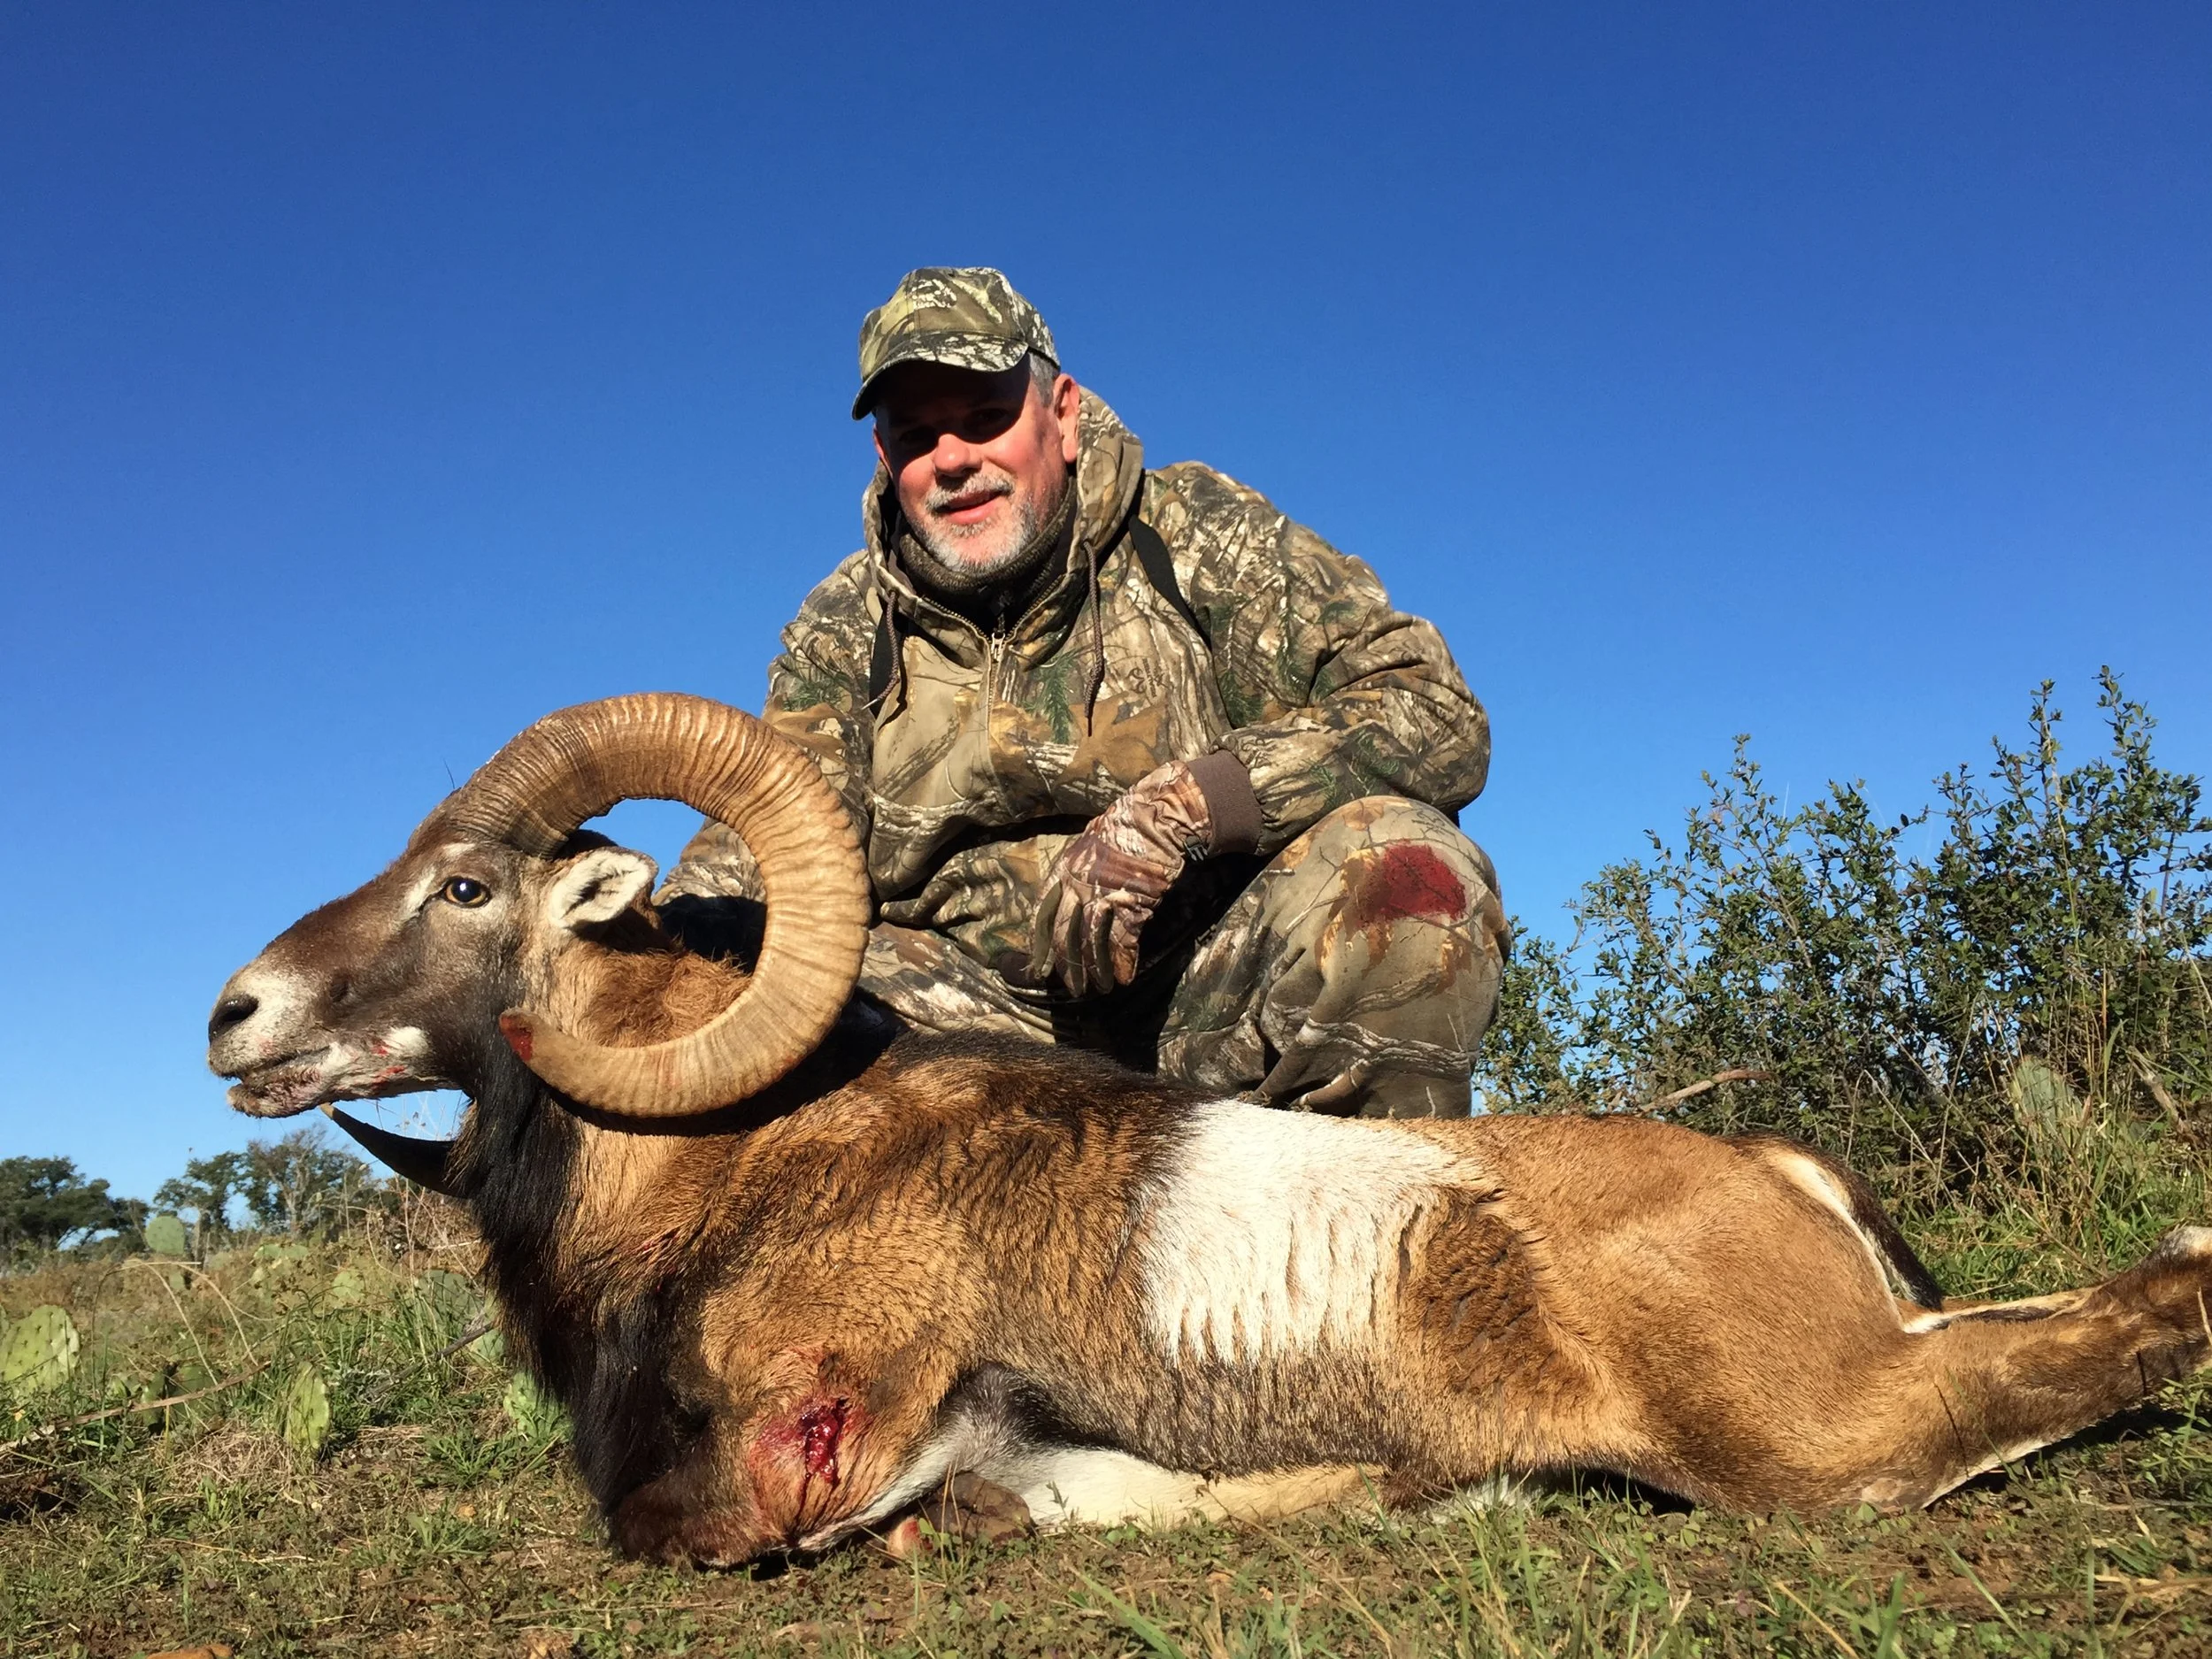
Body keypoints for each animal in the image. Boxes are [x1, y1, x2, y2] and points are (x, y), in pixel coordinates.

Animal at [207, 692, 2212, 1566]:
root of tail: (1769, 1173)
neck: (716, 1173)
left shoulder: (797, 1460)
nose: (238, 1013)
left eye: (470, 885)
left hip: (1811, 1435)